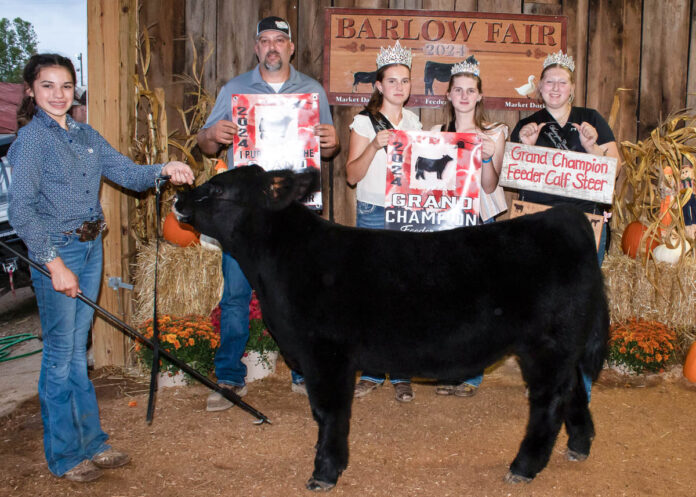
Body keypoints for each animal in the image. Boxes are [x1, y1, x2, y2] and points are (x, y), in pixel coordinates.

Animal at [174, 166, 609, 492]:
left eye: (216, 188)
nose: (177, 199)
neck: (282, 262)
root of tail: (564, 217)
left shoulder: (326, 354)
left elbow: (329, 411)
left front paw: (324, 472)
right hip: (563, 347)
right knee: (573, 390)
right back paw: (579, 446)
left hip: (546, 345)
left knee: (548, 402)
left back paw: (523, 467)